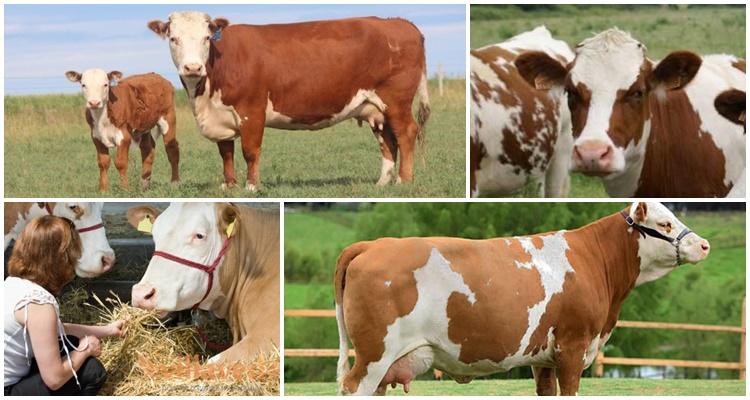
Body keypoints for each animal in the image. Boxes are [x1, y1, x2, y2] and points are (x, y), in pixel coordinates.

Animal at [147, 12, 430, 191]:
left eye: (206, 38)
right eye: (173, 39)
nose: (192, 67)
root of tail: (399, 23)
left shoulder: (252, 110)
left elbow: (250, 151)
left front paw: (251, 186)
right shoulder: (221, 116)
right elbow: (226, 152)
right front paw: (229, 185)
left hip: (396, 100)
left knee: (406, 133)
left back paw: (404, 180)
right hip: (375, 108)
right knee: (388, 140)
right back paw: (383, 182)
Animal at [334, 202, 710, 395]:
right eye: (665, 223)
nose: (704, 244)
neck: (592, 258)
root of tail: (373, 244)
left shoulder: (544, 359)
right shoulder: (573, 347)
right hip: (373, 356)